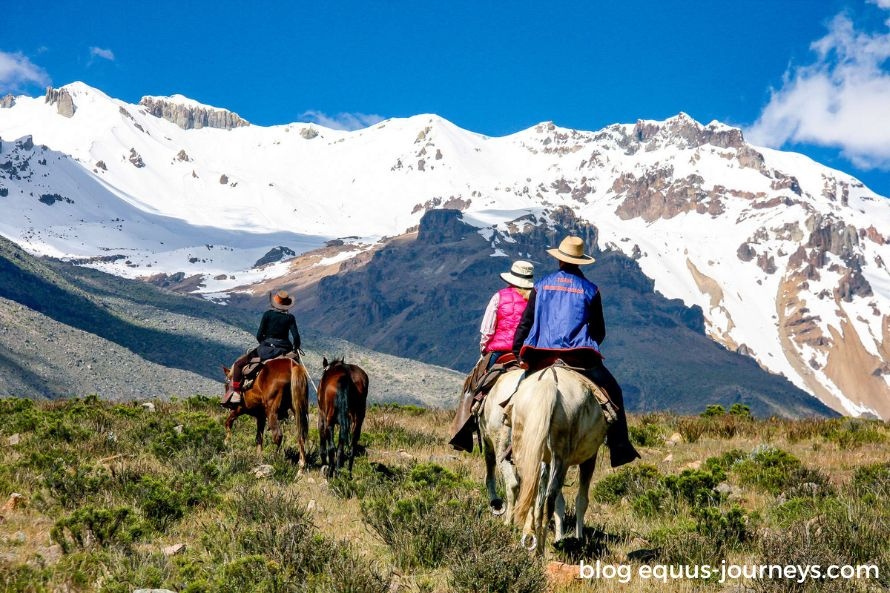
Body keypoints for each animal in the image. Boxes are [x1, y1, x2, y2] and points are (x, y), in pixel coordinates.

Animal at [510, 366, 608, 552]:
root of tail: (549, 382)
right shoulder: (590, 458)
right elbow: (580, 500)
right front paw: (579, 539)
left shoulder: (545, 461)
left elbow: (553, 502)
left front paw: (559, 537)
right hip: (561, 458)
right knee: (549, 498)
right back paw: (540, 550)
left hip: (527, 451)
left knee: (530, 492)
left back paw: (530, 539)